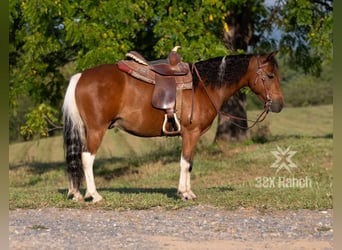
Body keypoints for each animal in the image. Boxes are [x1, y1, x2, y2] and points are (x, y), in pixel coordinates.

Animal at [61, 48, 284, 203]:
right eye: (270, 76)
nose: (279, 105)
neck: (202, 86)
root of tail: (80, 76)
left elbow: (188, 162)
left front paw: (187, 191)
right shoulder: (191, 133)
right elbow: (186, 163)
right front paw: (185, 194)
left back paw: (76, 193)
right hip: (96, 130)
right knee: (86, 158)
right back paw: (94, 195)